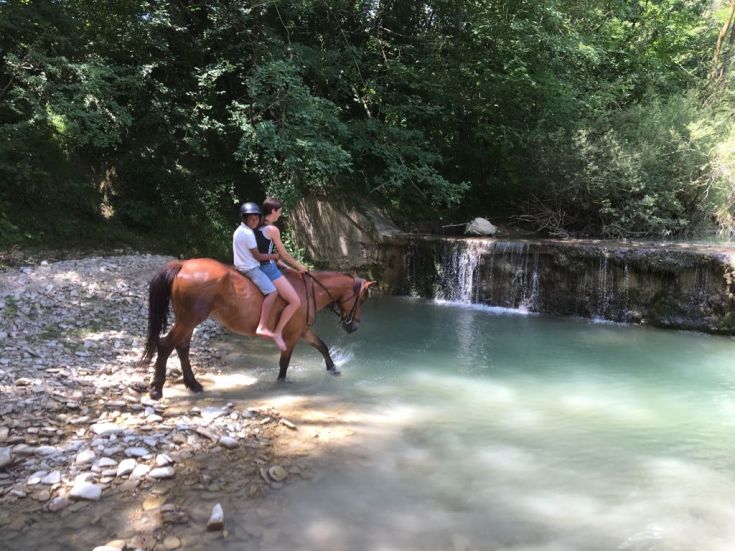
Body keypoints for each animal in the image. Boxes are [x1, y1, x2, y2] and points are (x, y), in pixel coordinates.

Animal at [140, 258, 374, 400]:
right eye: (362, 299)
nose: (354, 326)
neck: (309, 291)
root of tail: (183, 264)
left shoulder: (302, 331)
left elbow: (322, 346)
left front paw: (333, 368)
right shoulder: (291, 335)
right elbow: (284, 362)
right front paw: (282, 382)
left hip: (188, 320)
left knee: (182, 347)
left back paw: (194, 384)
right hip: (189, 319)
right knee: (166, 345)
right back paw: (157, 389)